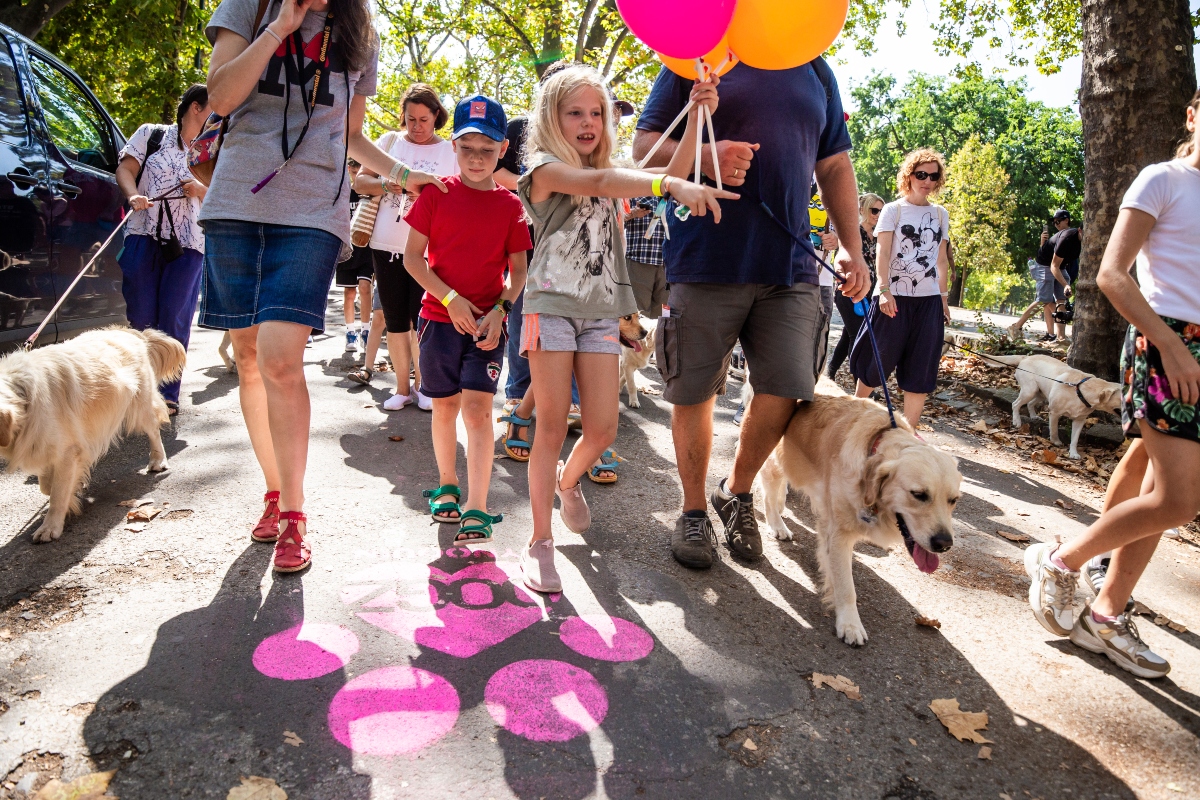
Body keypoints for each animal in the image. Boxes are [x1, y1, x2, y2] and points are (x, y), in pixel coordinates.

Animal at [0, 326, 184, 544]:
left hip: (140, 407)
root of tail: (130, 331)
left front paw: (50, 526)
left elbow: (57, 494)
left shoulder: (67, 451)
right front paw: (74, 490)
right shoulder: (46, 445)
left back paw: (157, 460)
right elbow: (47, 485)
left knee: (154, 431)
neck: (23, 396)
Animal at [758, 379, 964, 647]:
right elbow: (847, 587)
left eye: (953, 500)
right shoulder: (839, 534)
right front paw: (850, 624)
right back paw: (777, 524)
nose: (944, 544)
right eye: (918, 494)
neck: (873, 448)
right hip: (774, 457)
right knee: (768, 494)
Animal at [984, 355, 1123, 460]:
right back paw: (1017, 421)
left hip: (1040, 393)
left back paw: (1034, 416)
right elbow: (1054, 430)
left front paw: (1073, 453)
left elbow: (1075, 439)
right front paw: (1055, 442)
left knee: (1030, 404)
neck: (1080, 391)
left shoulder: (1080, 420)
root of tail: (1027, 357)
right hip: (1030, 390)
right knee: (1015, 404)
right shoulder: (1054, 412)